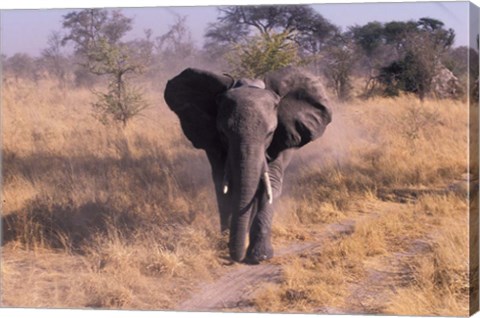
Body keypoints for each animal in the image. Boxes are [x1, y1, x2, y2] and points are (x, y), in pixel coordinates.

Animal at [163, 66, 332, 264]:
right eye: (223, 133)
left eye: (270, 133)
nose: (235, 257)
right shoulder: (213, 141)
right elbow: (223, 183)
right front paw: (226, 242)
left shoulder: (282, 139)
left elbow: (270, 183)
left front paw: (260, 256)